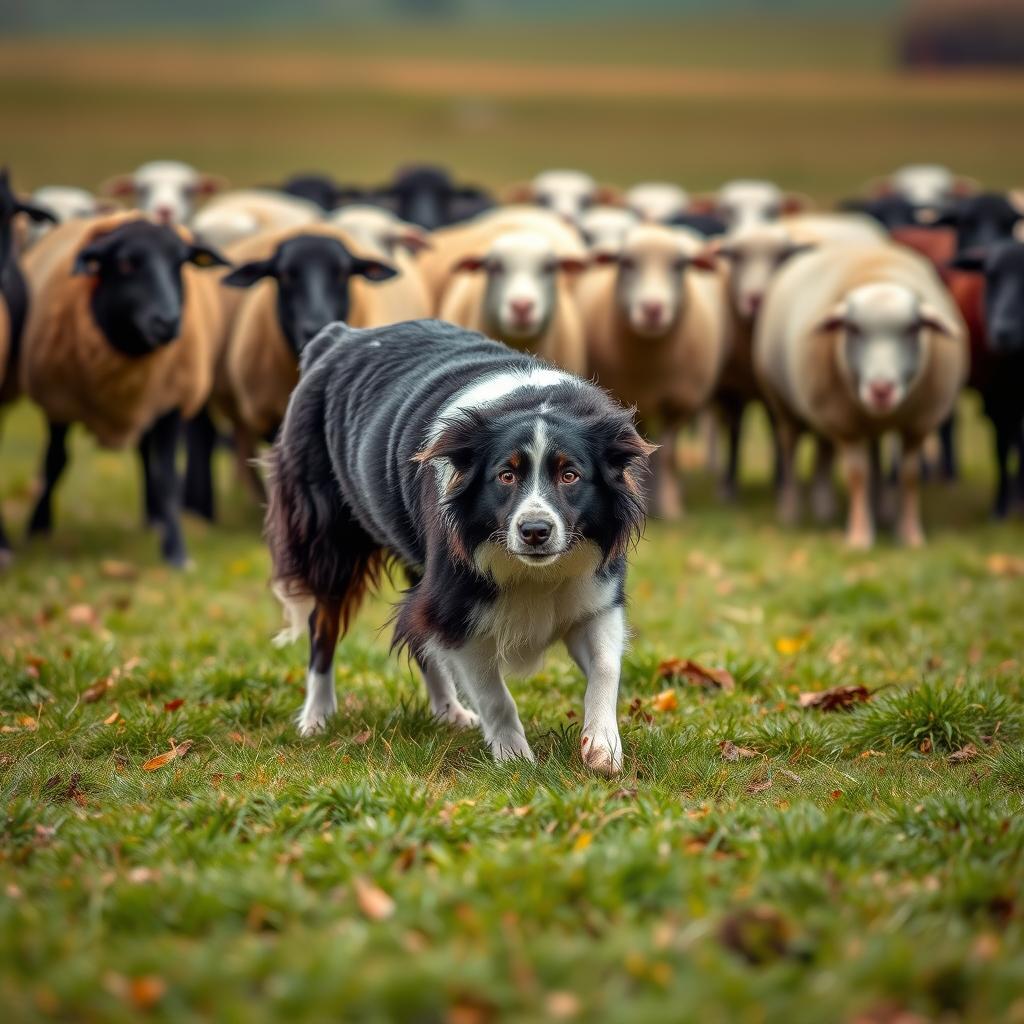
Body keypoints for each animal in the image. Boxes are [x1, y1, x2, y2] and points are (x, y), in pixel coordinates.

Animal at [19, 212, 227, 565]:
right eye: (126, 263)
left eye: (181, 263)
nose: (167, 322)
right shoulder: (57, 401)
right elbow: (54, 462)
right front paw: (37, 529)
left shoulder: (170, 401)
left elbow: (168, 476)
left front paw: (176, 551)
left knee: (146, 455)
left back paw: (154, 518)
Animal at [578, 224, 730, 518]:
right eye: (626, 262)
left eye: (679, 265)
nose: (652, 309)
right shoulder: (633, 401)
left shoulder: (680, 403)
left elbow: (668, 455)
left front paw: (670, 507)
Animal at [754, 242, 967, 548]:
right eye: (853, 328)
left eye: (912, 328)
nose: (881, 389)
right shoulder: (846, 424)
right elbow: (857, 475)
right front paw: (859, 536)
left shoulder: (919, 424)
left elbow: (909, 476)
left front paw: (910, 535)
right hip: (784, 406)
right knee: (789, 451)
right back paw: (790, 511)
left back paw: (861, 509)